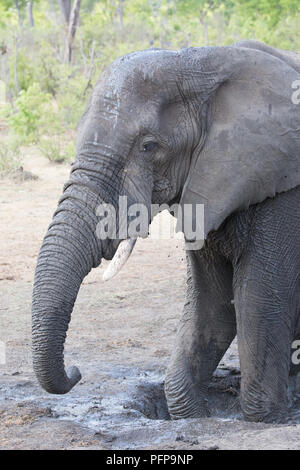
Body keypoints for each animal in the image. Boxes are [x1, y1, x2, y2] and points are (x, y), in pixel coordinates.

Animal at [31, 39, 300, 422]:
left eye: (149, 147)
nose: (76, 372)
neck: (199, 61)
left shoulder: (285, 192)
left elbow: (259, 300)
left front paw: (269, 417)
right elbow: (212, 303)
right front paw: (195, 414)